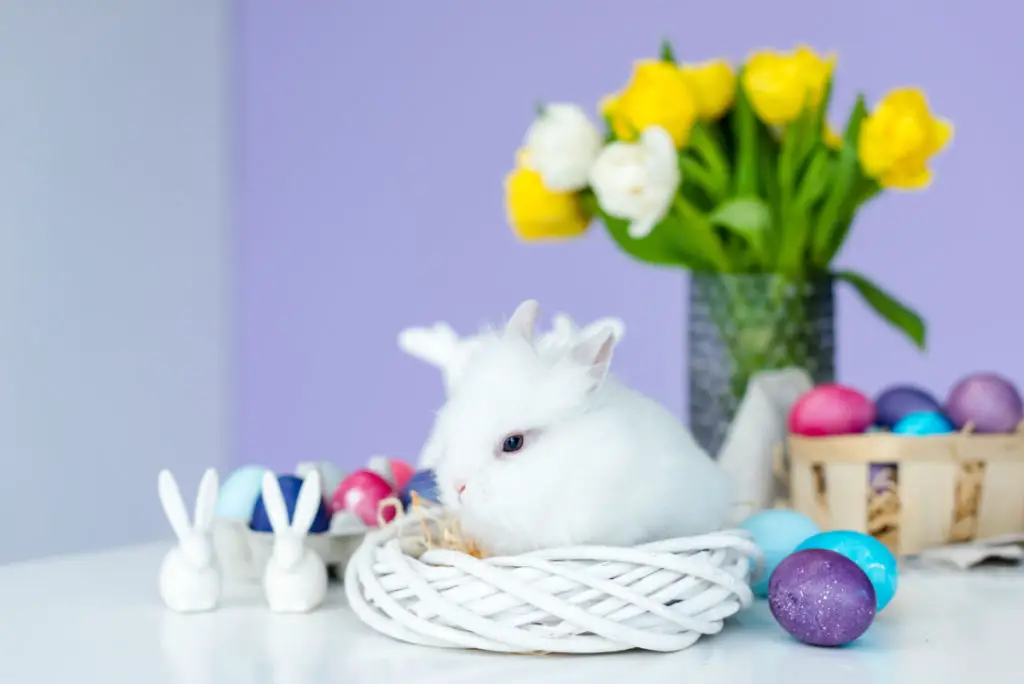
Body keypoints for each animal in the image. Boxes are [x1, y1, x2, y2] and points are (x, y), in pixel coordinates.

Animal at [260, 473, 327, 610]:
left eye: (299, 549)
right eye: (276, 548)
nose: (287, 564)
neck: (289, 575)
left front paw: (301, 608)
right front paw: (277, 608)